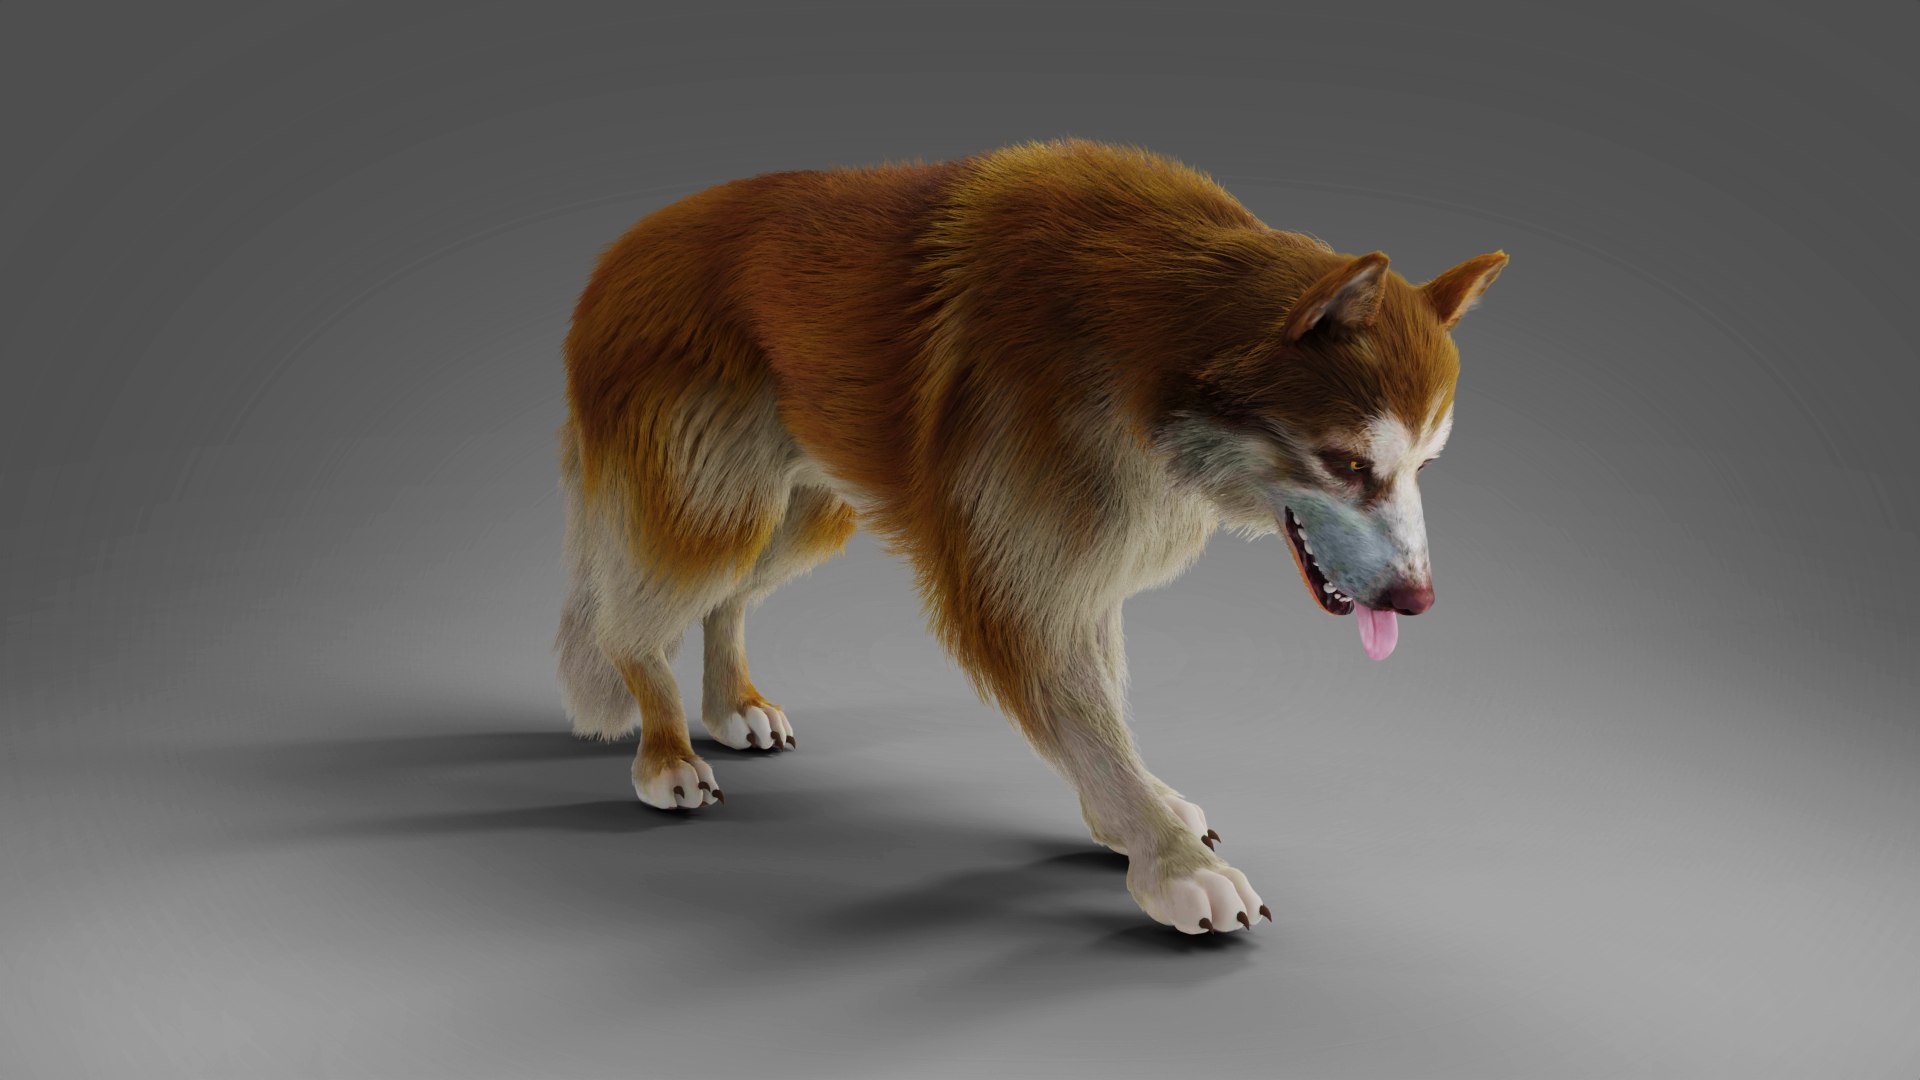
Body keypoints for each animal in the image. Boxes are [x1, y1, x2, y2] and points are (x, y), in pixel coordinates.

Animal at [556, 138, 1506, 934]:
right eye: (1348, 464)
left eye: (1426, 463)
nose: (1416, 601)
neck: (1149, 352)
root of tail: (617, 256)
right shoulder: (1023, 581)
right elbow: (1086, 722)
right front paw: (1170, 863)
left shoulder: (1091, 563)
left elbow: (1103, 711)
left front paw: (1131, 815)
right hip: (720, 505)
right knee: (636, 624)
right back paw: (666, 752)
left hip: (806, 510)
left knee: (727, 600)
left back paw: (731, 706)